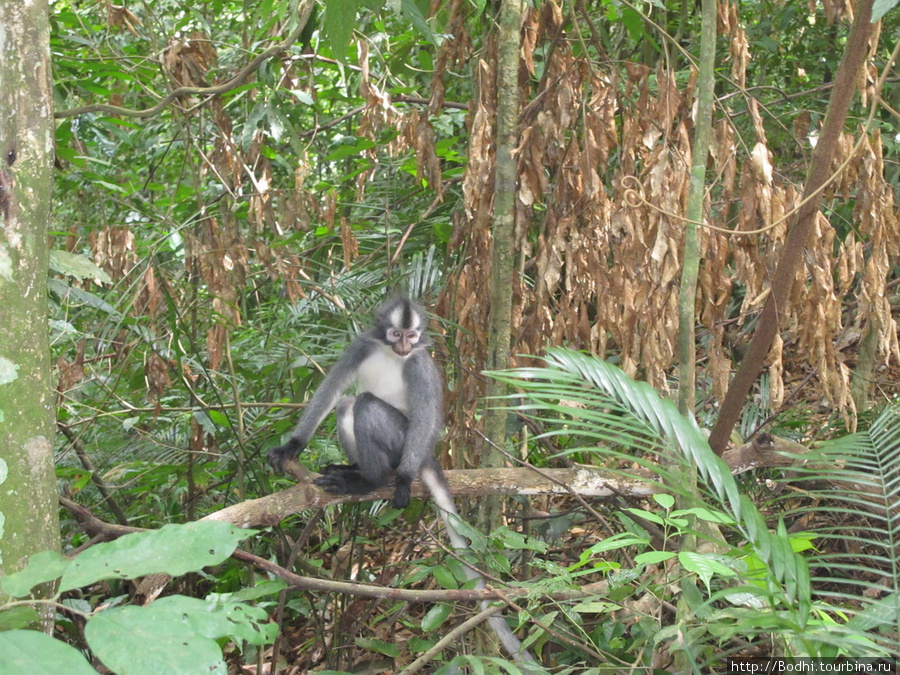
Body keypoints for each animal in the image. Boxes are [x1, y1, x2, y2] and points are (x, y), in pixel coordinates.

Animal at [264, 298, 536, 672]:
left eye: (412, 335)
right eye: (396, 334)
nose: (406, 345)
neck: (393, 355)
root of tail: (424, 456)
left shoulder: (419, 365)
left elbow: (426, 415)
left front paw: (403, 482)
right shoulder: (361, 346)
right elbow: (331, 391)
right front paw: (292, 446)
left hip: (402, 442)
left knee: (365, 404)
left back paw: (371, 480)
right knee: (347, 404)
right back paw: (354, 470)